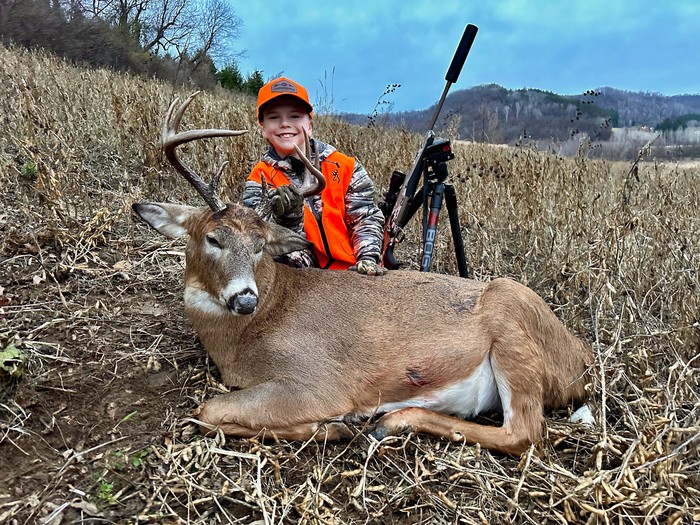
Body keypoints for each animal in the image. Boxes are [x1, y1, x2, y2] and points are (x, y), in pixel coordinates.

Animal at [132, 93, 595, 456]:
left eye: (261, 245)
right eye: (212, 238)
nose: (244, 298)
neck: (248, 334)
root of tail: (582, 359)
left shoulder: (319, 380)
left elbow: (204, 410)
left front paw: (334, 425)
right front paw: (331, 427)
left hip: (511, 319)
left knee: (524, 432)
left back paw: (387, 422)